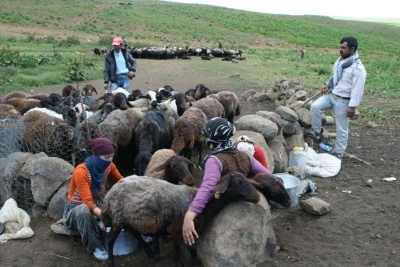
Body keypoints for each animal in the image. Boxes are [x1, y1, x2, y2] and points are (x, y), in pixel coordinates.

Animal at [101, 172, 260, 267]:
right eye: (238, 182)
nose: (257, 196)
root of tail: (110, 192)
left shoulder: (175, 230)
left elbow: (176, 249)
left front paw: (176, 261)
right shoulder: (177, 229)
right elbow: (186, 254)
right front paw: (181, 262)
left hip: (130, 219)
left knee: (135, 234)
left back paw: (151, 255)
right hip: (117, 219)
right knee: (110, 240)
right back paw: (111, 262)